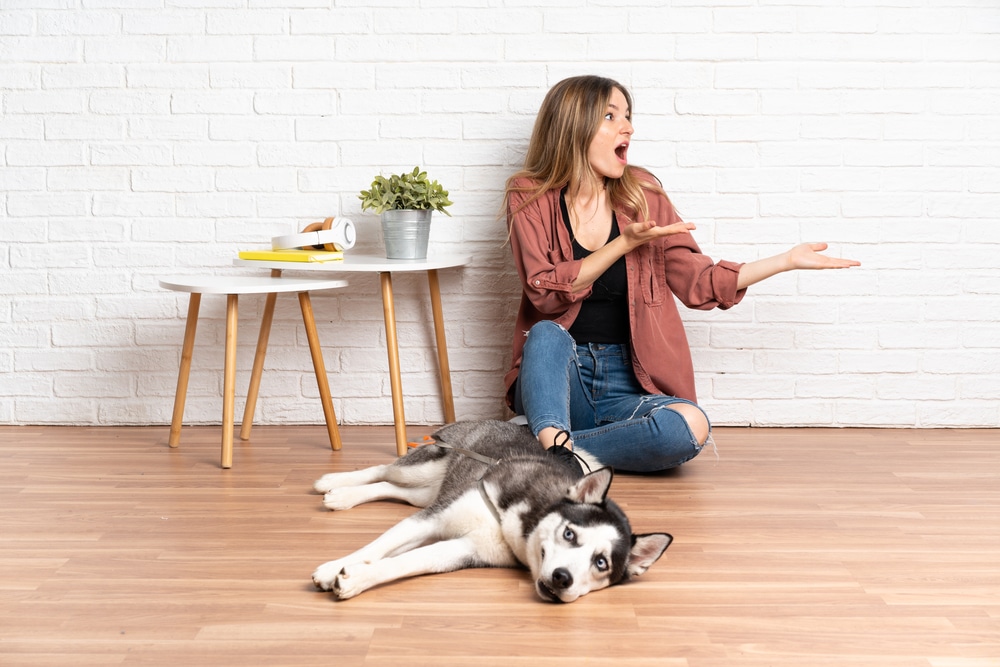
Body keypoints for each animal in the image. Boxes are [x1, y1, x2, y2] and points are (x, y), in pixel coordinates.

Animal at [312, 420, 672, 604]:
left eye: (601, 563)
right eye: (569, 534)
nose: (562, 578)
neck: (514, 524)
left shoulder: (462, 548)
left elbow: (405, 562)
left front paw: (358, 577)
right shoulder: (434, 518)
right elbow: (375, 548)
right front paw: (332, 569)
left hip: (431, 490)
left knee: (395, 489)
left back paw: (343, 496)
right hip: (424, 470)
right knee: (385, 470)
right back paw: (335, 483)